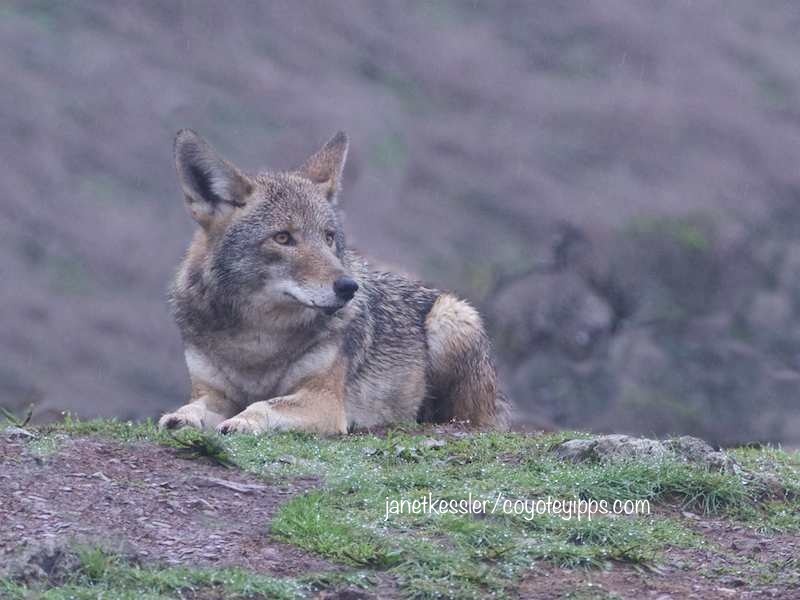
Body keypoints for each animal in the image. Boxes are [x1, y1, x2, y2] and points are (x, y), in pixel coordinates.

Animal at [158, 129, 510, 435]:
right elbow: (193, 407)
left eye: (328, 237)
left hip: (452, 317)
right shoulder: (213, 393)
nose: (348, 287)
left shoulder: (324, 399)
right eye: (283, 238)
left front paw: (242, 421)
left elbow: (263, 405)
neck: (257, 341)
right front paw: (179, 417)